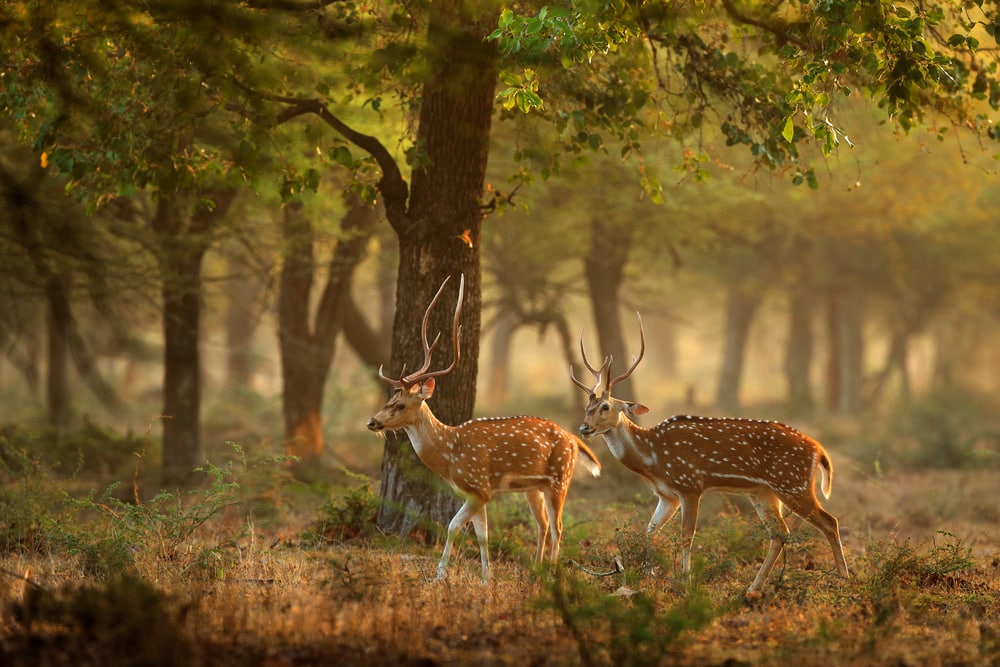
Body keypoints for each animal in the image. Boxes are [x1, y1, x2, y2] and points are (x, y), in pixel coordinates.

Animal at [367, 274, 601, 582]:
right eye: (389, 399)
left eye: (401, 404)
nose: (372, 422)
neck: (449, 454)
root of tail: (574, 438)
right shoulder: (474, 493)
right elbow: (482, 536)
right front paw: (486, 578)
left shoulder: (480, 488)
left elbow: (453, 526)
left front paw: (440, 575)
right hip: (534, 487)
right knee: (543, 524)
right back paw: (537, 568)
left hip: (560, 478)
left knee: (558, 526)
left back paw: (551, 573)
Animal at [569, 315, 849, 594]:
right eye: (587, 407)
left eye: (605, 406)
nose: (584, 428)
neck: (652, 458)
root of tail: (819, 451)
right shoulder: (667, 495)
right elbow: (650, 530)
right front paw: (647, 576)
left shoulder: (690, 485)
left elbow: (686, 536)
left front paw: (685, 582)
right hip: (764, 492)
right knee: (780, 533)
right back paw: (753, 587)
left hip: (793, 484)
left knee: (829, 522)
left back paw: (844, 580)